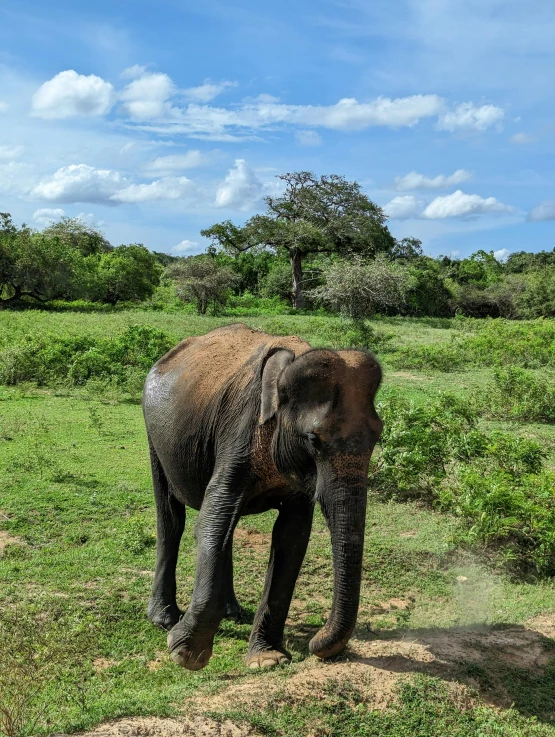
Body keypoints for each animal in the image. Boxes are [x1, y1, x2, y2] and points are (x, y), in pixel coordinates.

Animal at [142, 322, 382, 668]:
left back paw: (233, 612)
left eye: (379, 435)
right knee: (171, 519)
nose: (315, 643)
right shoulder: (238, 433)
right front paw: (186, 653)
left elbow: (292, 536)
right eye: (313, 439)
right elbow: (213, 517)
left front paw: (268, 659)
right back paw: (164, 619)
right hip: (154, 437)